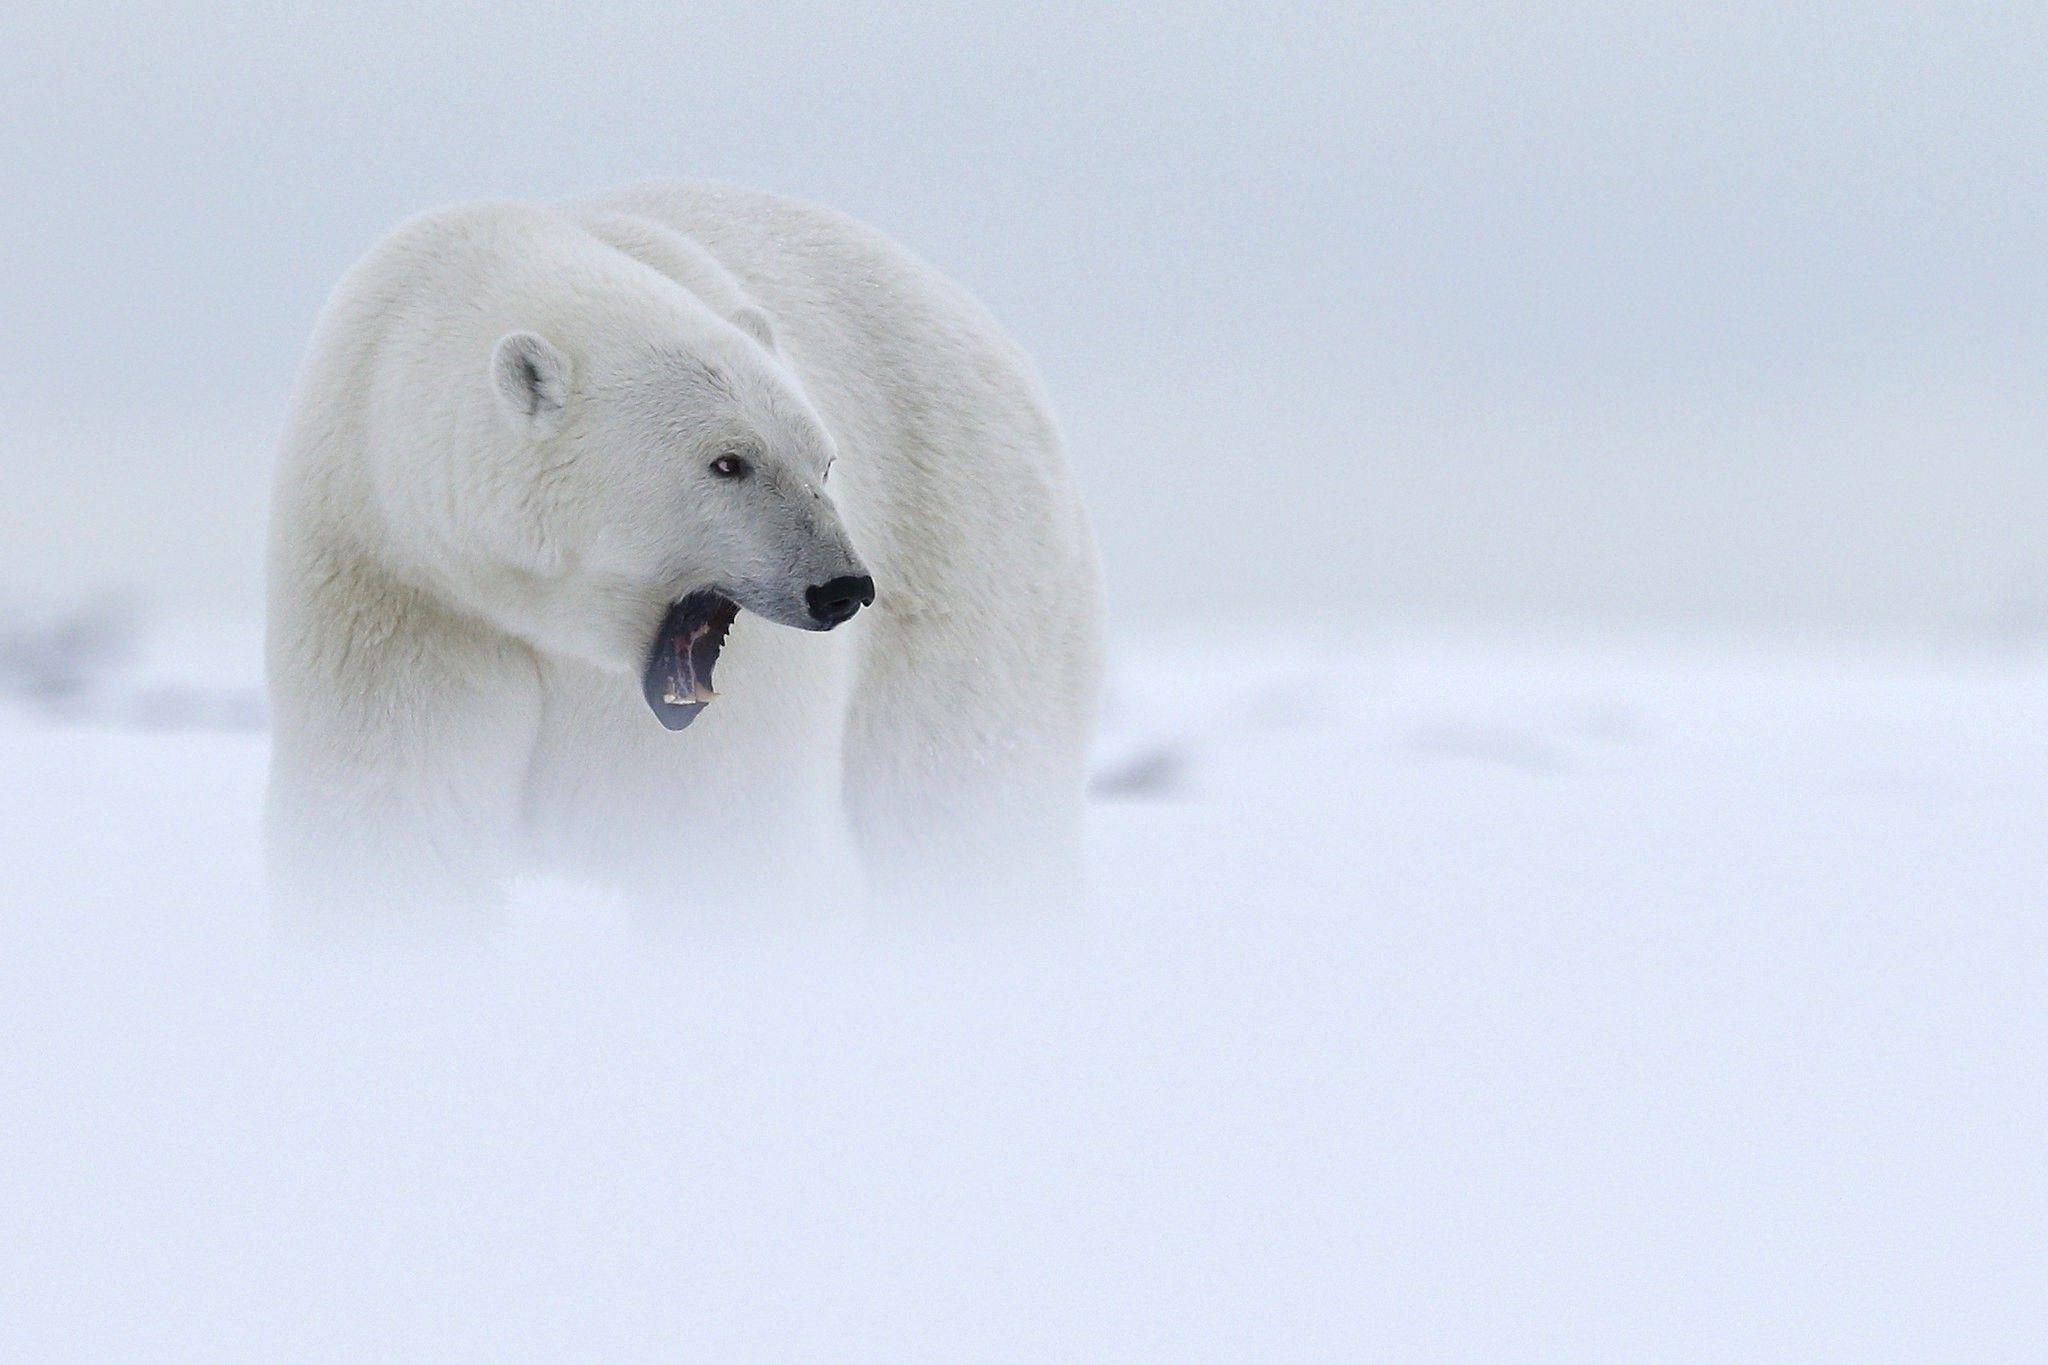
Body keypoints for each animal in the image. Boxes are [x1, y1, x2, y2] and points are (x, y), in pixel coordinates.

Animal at [264, 180, 1103, 922]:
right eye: (727, 461)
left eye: (825, 462)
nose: (840, 587)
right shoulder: (395, 587)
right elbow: (397, 810)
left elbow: (726, 834)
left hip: (972, 559)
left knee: (962, 801)